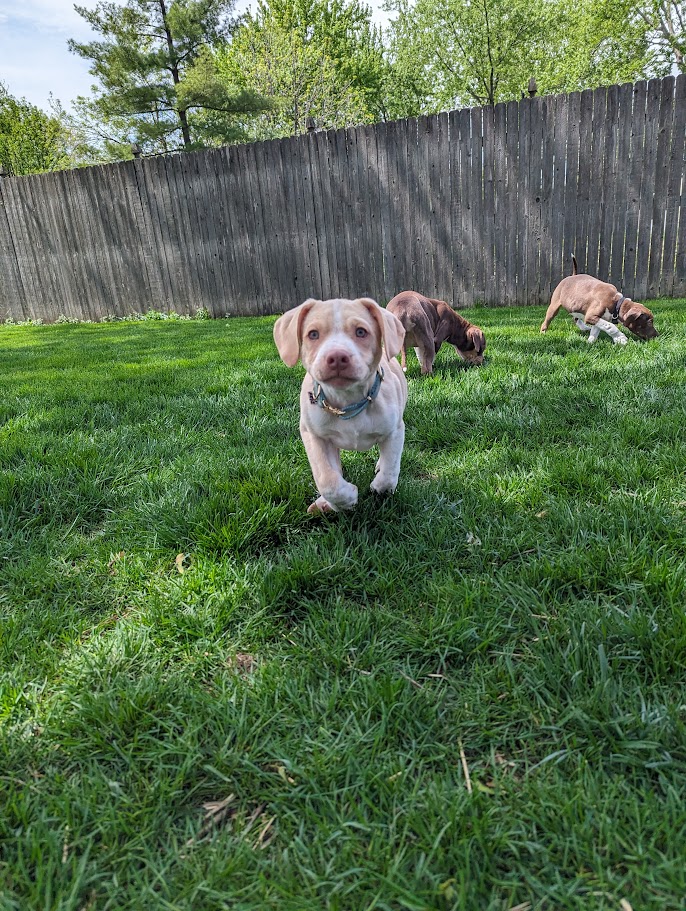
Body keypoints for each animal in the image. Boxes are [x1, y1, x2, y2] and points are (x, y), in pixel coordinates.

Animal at [273, 297, 407, 514]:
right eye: (313, 334)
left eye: (361, 332)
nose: (336, 357)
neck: (347, 402)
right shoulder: (313, 435)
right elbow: (327, 479)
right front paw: (344, 499)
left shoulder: (395, 430)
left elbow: (390, 467)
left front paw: (380, 488)